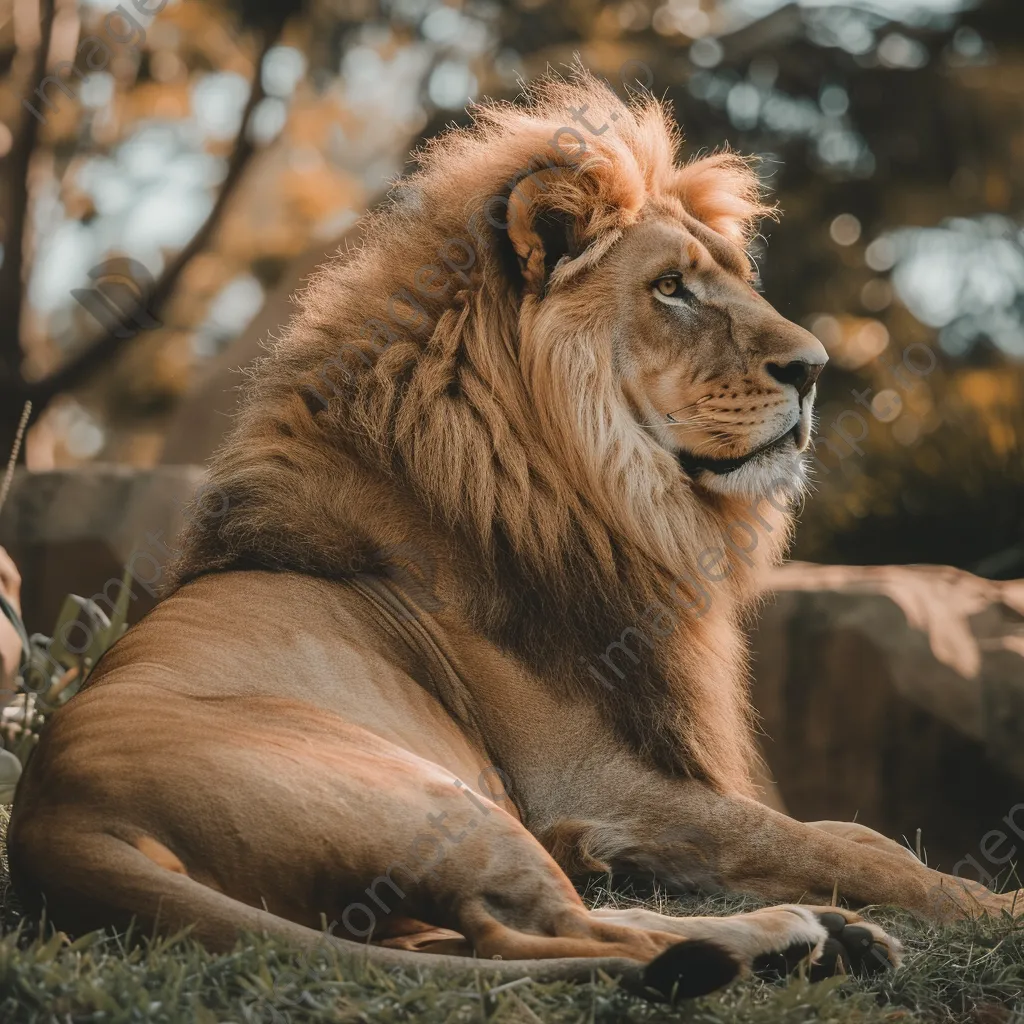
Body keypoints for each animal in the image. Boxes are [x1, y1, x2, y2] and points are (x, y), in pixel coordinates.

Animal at [6, 72, 1015, 999]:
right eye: (672, 288)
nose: (814, 368)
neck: (591, 494)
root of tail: (60, 825)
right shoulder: (592, 786)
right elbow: (829, 840)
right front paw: (999, 908)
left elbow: (849, 834)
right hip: (442, 798)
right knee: (554, 933)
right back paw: (784, 940)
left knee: (502, 935)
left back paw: (826, 939)